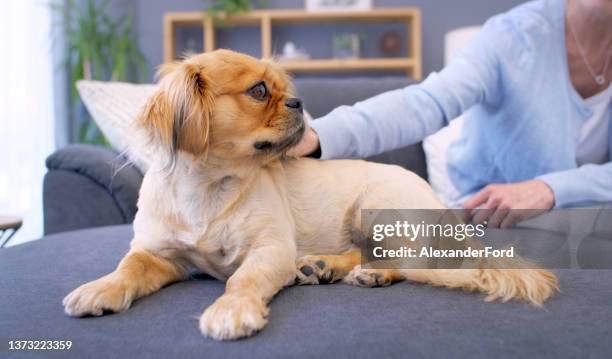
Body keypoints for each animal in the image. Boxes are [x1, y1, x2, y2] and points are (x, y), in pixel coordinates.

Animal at [63, 49, 560, 342]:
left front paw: (231, 310)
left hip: (374, 210)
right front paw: (99, 288)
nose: (299, 103)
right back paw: (321, 267)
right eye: (259, 90)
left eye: (285, 90)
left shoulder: (270, 250)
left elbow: (240, 279)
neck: (208, 187)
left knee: (405, 263)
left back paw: (361, 273)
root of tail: (443, 211)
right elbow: (128, 268)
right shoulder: (158, 255)